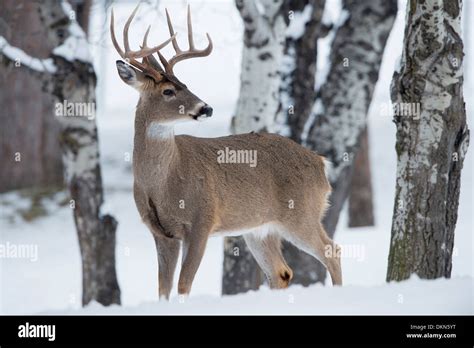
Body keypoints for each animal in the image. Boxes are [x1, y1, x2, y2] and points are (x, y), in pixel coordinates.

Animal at [111, 4, 340, 300]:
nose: (206, 108)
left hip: (301, 212)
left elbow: (184, 284)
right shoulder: (160, 232)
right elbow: (163, 289)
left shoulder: (203, 219)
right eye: (169, 90)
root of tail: (320, 162)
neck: (162, 183)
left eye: (186, 84)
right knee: (282, 272)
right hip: (260, 228)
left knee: (332, 251)